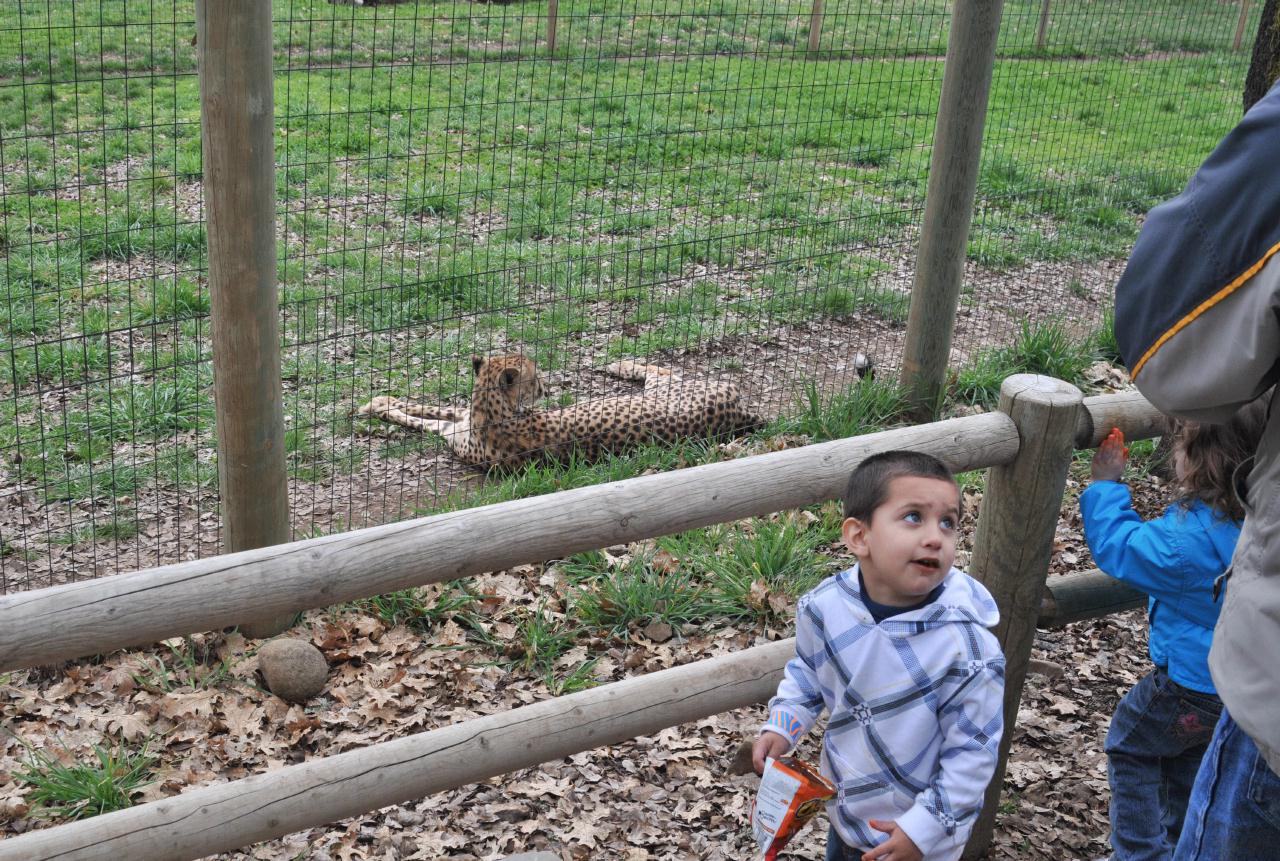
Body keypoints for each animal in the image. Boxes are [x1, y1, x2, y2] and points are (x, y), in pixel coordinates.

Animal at [353, 353, 757, 465]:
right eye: (535, 377)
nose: (547, 388)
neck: (490, 408)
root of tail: (740, 408)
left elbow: (431, 414)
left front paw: (381, 404)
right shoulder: (453, 427)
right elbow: (425, 411)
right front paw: (380, 403)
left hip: (665, 390)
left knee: (663, 370)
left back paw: (619, 363)